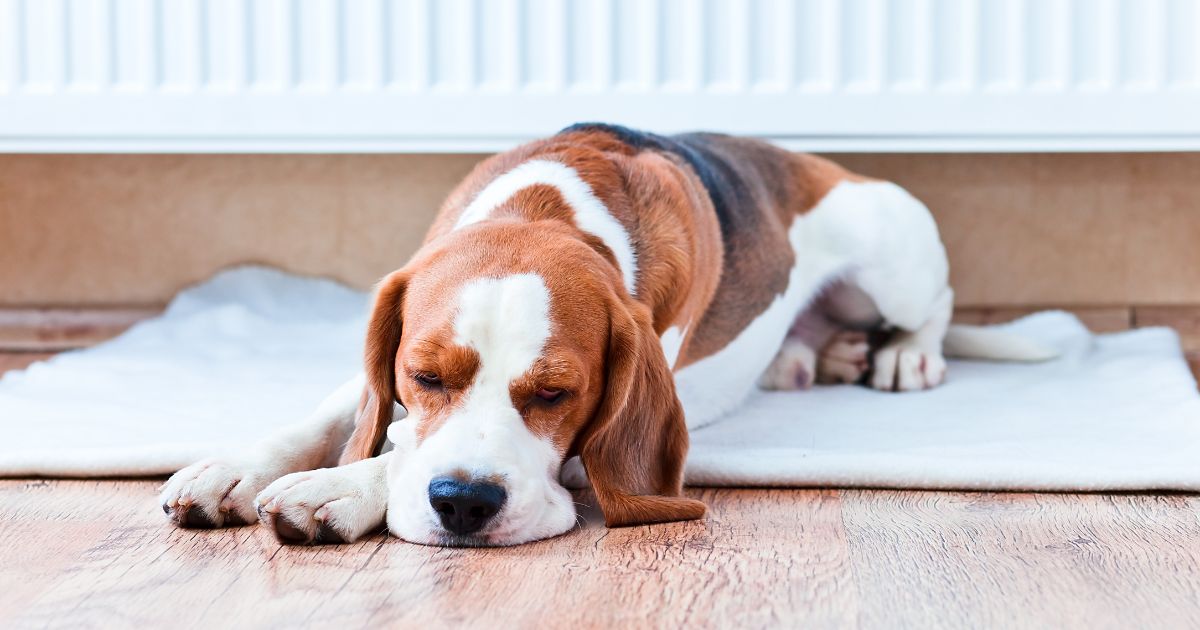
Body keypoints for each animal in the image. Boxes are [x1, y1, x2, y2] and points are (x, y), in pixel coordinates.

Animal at [162, 123, 1051, 544]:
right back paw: (811, 353)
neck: (542, 212)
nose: (464, 506)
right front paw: (236, 468)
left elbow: (398, 453)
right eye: (424, 377)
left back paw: (904, 353)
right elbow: (338, 416)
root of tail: (820, 162)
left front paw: (341, 487)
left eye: (559, 394)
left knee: (935, 303)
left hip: (893, 253)